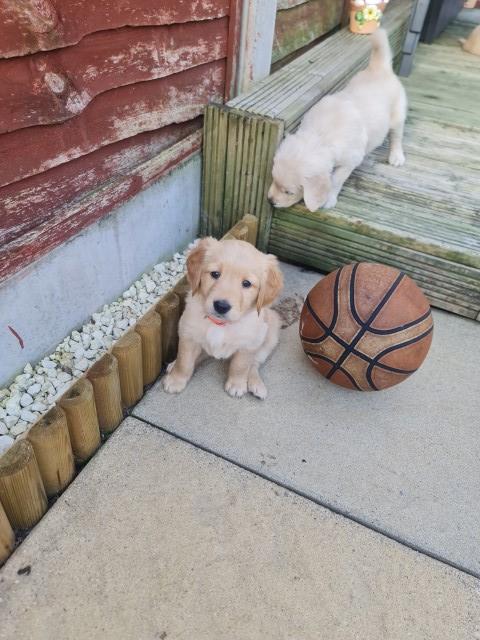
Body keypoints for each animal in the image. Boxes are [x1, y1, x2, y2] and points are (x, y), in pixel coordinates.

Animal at [163, 239, 284, 400]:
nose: (221, 306)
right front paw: (176, 380)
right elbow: (184, 361)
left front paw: (237, 385)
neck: (220, 324)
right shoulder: (188, 334)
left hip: (270, 335)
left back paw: (256, 384)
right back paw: (173, 364)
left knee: (254, 363)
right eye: (215, 274)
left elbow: (240, 366)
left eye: (246, 283)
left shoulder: (249, 344)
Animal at [268, 28, 406, 211]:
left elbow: (335, 180)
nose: (270, 201)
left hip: (398, 115)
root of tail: (380, 68)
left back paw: (397, 156)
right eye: (274, 179)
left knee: (396, 136)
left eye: (289, 192)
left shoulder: (350, 161)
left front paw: (329, 199)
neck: (320, 136)